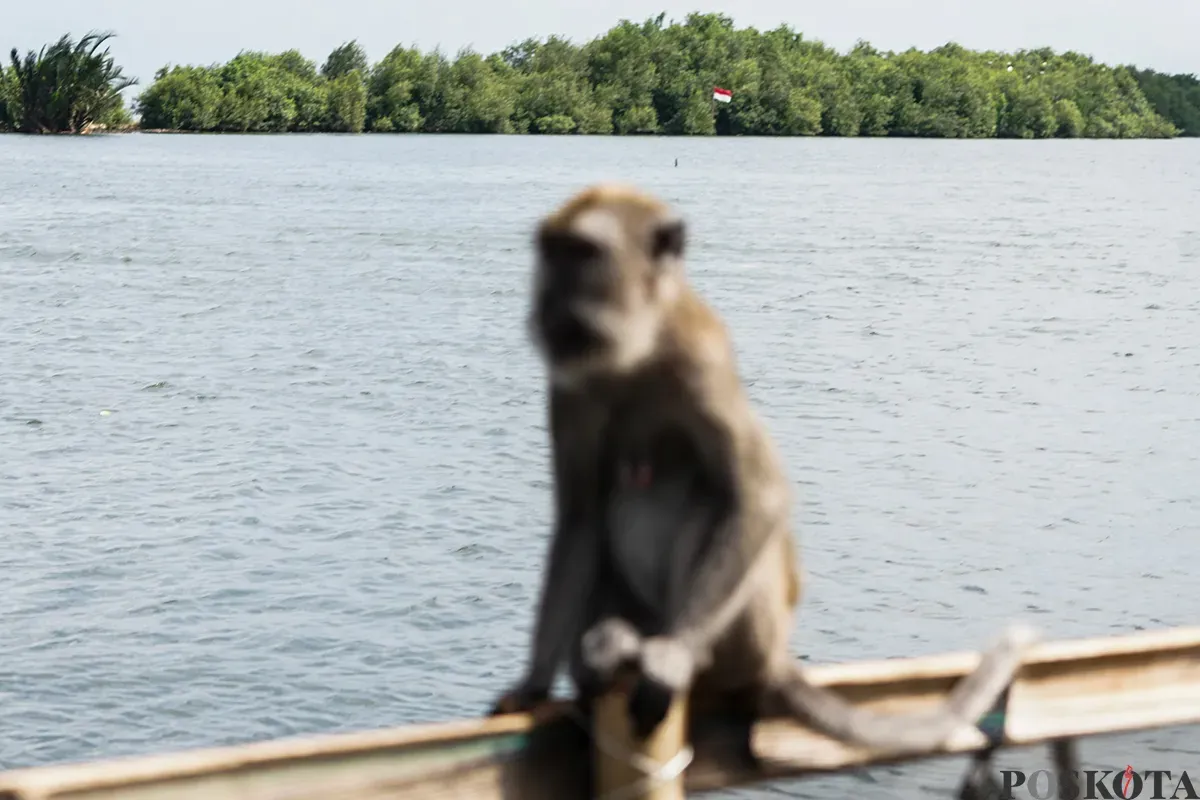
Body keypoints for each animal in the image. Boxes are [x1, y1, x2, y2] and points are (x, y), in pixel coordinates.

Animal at [489, 184, 1041, 753]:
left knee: (713, 500)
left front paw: (673, 658)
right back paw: (612, 648)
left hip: (750, 639)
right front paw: (532, 685)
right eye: (551, 253)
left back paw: (663, 654)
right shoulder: (568, 389)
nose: (549, 304)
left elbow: (759, 494)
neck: (636, 351)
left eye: (582, 253)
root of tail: (775, 660)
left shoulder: (702, 363)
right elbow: (579, 517)